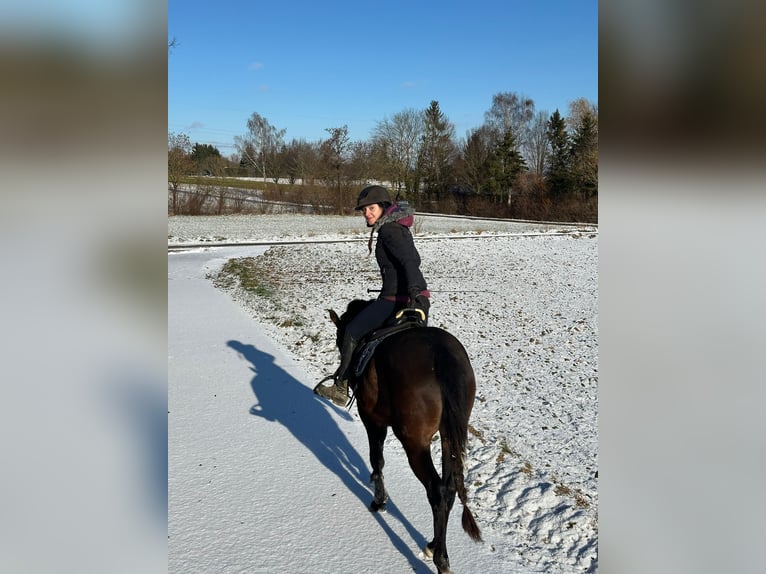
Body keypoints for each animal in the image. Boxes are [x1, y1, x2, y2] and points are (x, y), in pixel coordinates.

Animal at [327, 299, 482, 574]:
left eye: (338, 337)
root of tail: (441, 355)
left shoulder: (372, 418)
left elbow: (376, 458)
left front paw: (379, 501)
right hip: (448, 435)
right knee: (449, 488)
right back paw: (432, 545)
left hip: (414, 441)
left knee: (436, 490)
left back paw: (441, 560)